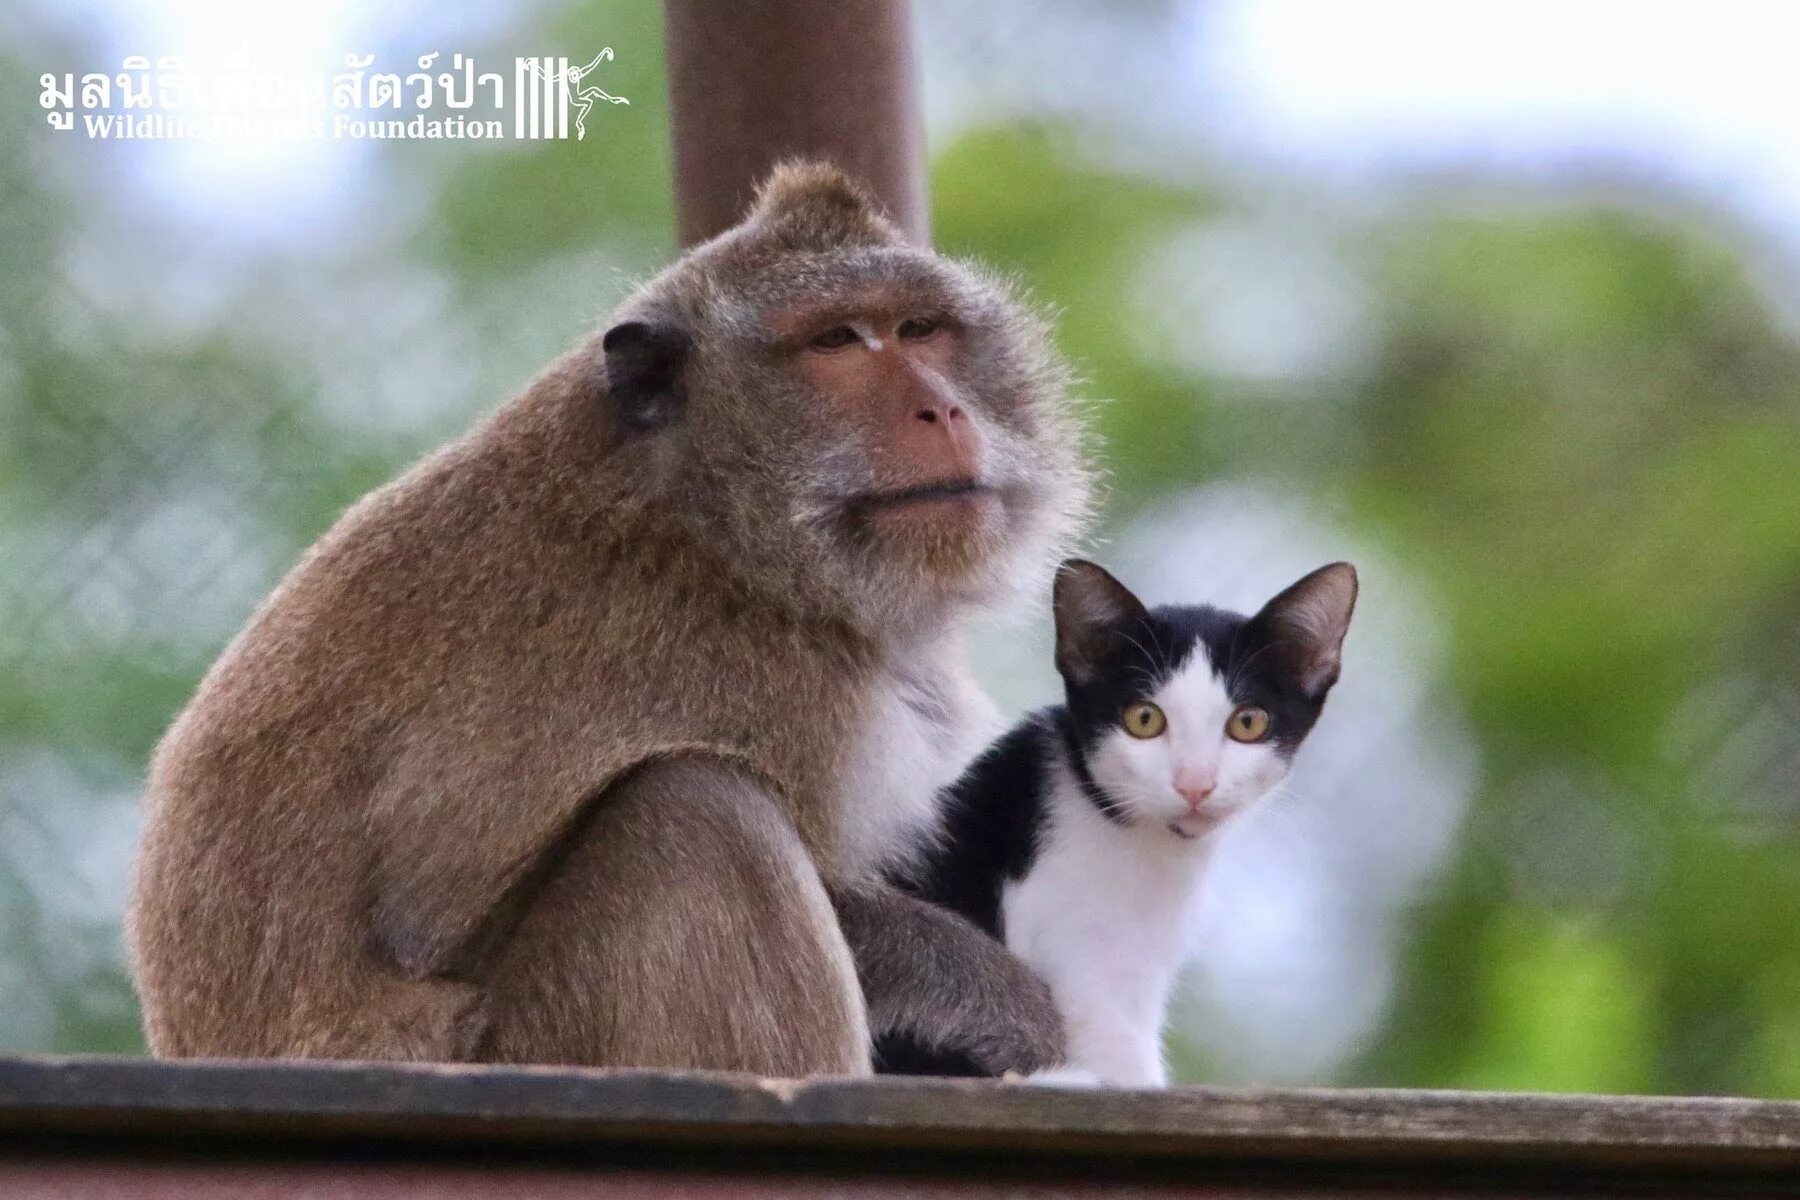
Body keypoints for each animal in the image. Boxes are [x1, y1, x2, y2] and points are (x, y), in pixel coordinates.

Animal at [126, 161, 1094, 1079]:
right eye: (835, 342)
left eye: (920, 329)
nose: (943, 407)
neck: (708, 524)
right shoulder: (768, 683)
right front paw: (996, 997)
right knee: (695, 811)